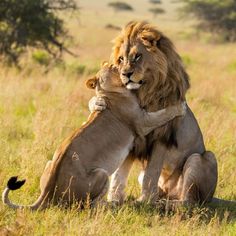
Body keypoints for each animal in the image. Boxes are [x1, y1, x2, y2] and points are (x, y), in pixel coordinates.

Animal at [2, 63, 185, 210]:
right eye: (114, 66)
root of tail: (48, 194)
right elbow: (162, 114)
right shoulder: (142, 122)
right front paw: (180, 107)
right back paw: (109, 204)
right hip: (101, 174)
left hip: (49, 163)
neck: (110, 92)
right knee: (88, 204)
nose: (126, 70)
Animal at [89, 21, 218, 205]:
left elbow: (152, 171)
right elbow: (120, 173)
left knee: (189, 202)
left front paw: (144, 201)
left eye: (137, 56)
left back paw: (163, 204)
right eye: (121, 59)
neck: (142, 93)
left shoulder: (160, 137)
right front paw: (114, 199)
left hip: (202, 158)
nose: (125, 74)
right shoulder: (132, 138)